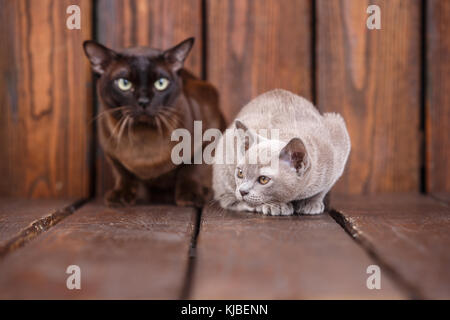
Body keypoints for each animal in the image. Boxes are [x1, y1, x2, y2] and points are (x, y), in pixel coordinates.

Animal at [82, 38, 225, 208]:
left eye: (161, 83)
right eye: (124, 83)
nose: (144, 101)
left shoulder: (209, 137)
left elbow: (192, 169)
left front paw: (190, 197)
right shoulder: (110, 153)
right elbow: (123, 174)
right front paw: (120, 196)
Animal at [214, 89, 352, 216]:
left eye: (263, 179)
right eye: (240, 173)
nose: (242, 191)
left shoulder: (339, 142)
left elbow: (323, 189)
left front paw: (311, 203)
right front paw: (276, 206)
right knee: (228, 200)